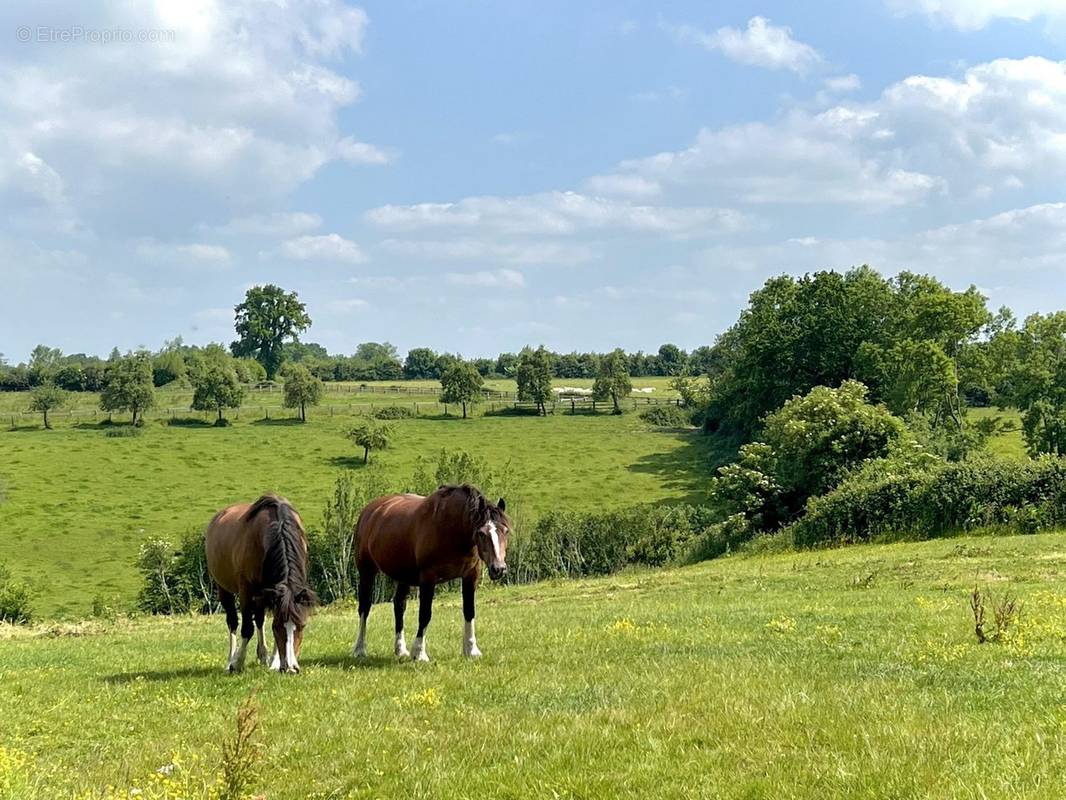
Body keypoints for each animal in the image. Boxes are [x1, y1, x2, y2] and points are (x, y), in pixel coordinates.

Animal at [205, 499, 315, 674]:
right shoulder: (246, 590)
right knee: (233, 622)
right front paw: (237, 663)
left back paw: (263, 655)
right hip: (224, 588)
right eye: (277, 628)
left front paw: (274, 662)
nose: (291, 669)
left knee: (259, 620)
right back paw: (230, 660)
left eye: (302, 626)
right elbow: (247, 628)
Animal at [351, 482, 509, 665]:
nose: (499, 568)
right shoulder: (428, 578)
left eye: (505, 531)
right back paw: (359, 649)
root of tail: (369, 511)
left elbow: (469, 611)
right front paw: (419, 653)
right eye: (482, 533)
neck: (450, 528)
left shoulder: (471, 575)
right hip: (367, 571)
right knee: (365, 607)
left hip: (403, 575)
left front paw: (471, 650)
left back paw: (401, 649)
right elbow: (425, 614)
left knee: (399, 605)